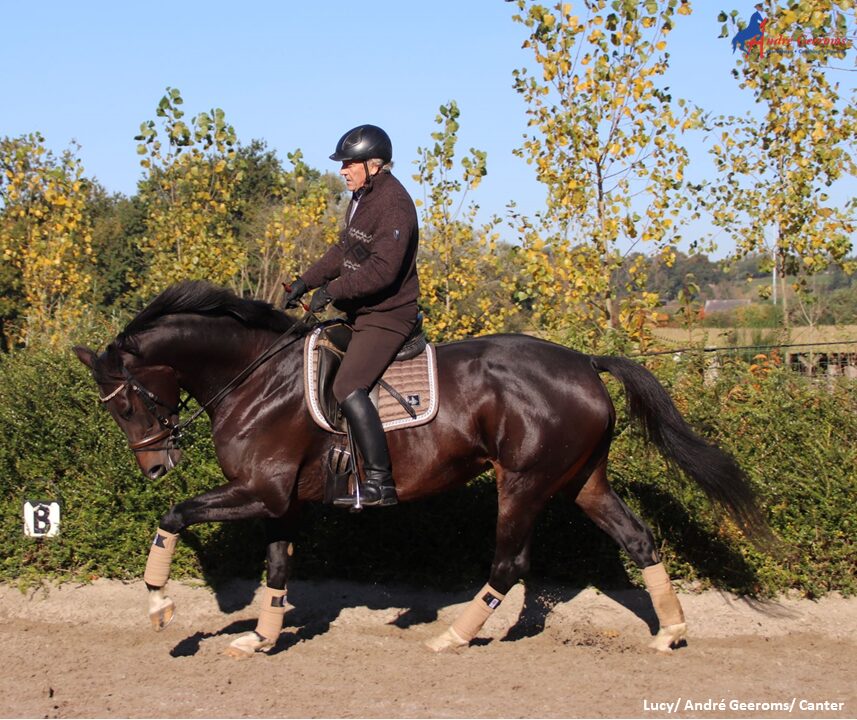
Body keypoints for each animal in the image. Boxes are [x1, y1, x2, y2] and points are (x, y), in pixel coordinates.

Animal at [73, 282, 768, 660]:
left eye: (127, 402)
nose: (156, 466)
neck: (256, 378)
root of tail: (585, 363)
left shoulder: (257, 491)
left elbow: (174, 517)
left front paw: (160, 605)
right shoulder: (279, 501)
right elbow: (277, 570)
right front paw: (262, 640)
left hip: (523, 482)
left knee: (510, 564)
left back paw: (453, 637)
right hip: (581, 482)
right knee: (639, 539)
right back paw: (670, 631)